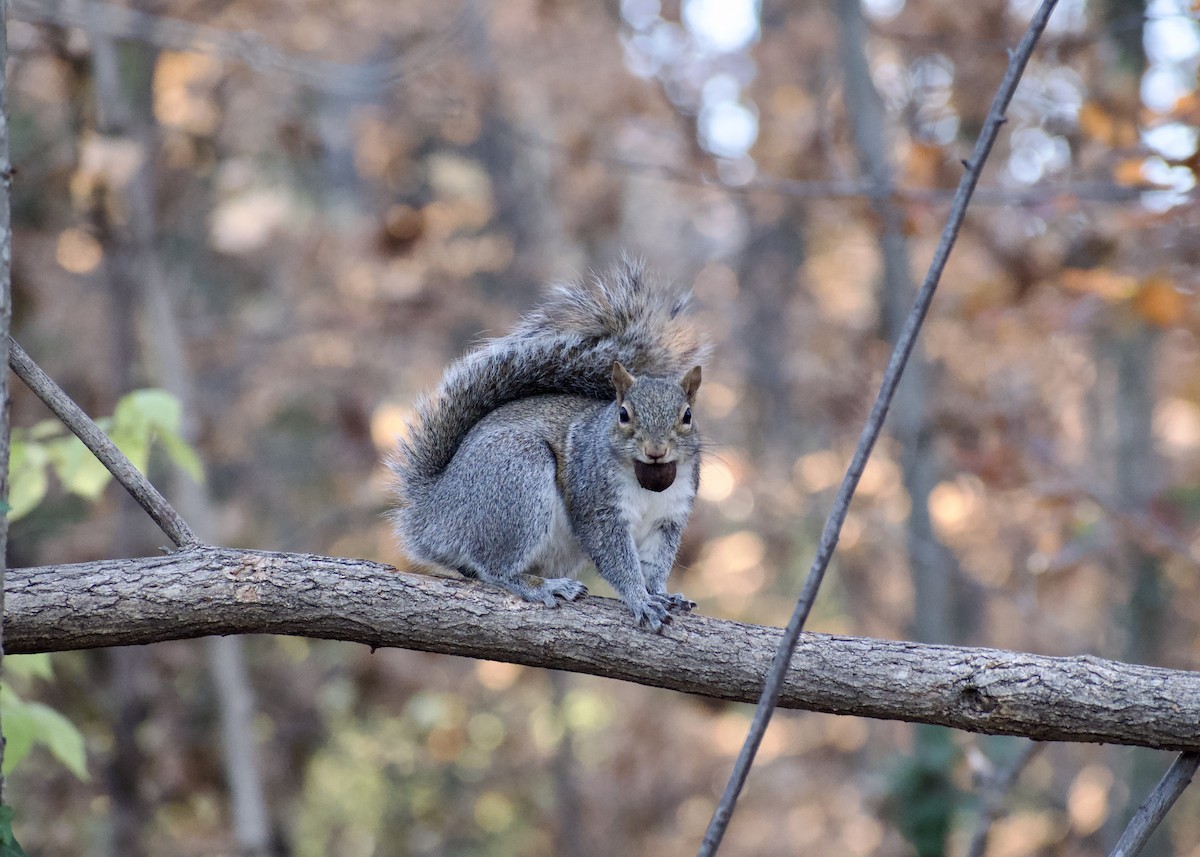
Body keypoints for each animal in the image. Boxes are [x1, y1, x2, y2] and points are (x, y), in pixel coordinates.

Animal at [388, 259, 709, 632]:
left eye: (687, 416)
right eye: (623, 414)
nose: (656, 451)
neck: (650, 482)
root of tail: (432, 512)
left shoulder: (669, 518)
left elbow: (656, 564)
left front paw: (661, 594)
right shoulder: (598, 507)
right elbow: (616, 559)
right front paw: (640, 600)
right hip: (517, 477)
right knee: (493, 568)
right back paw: (541, 586)